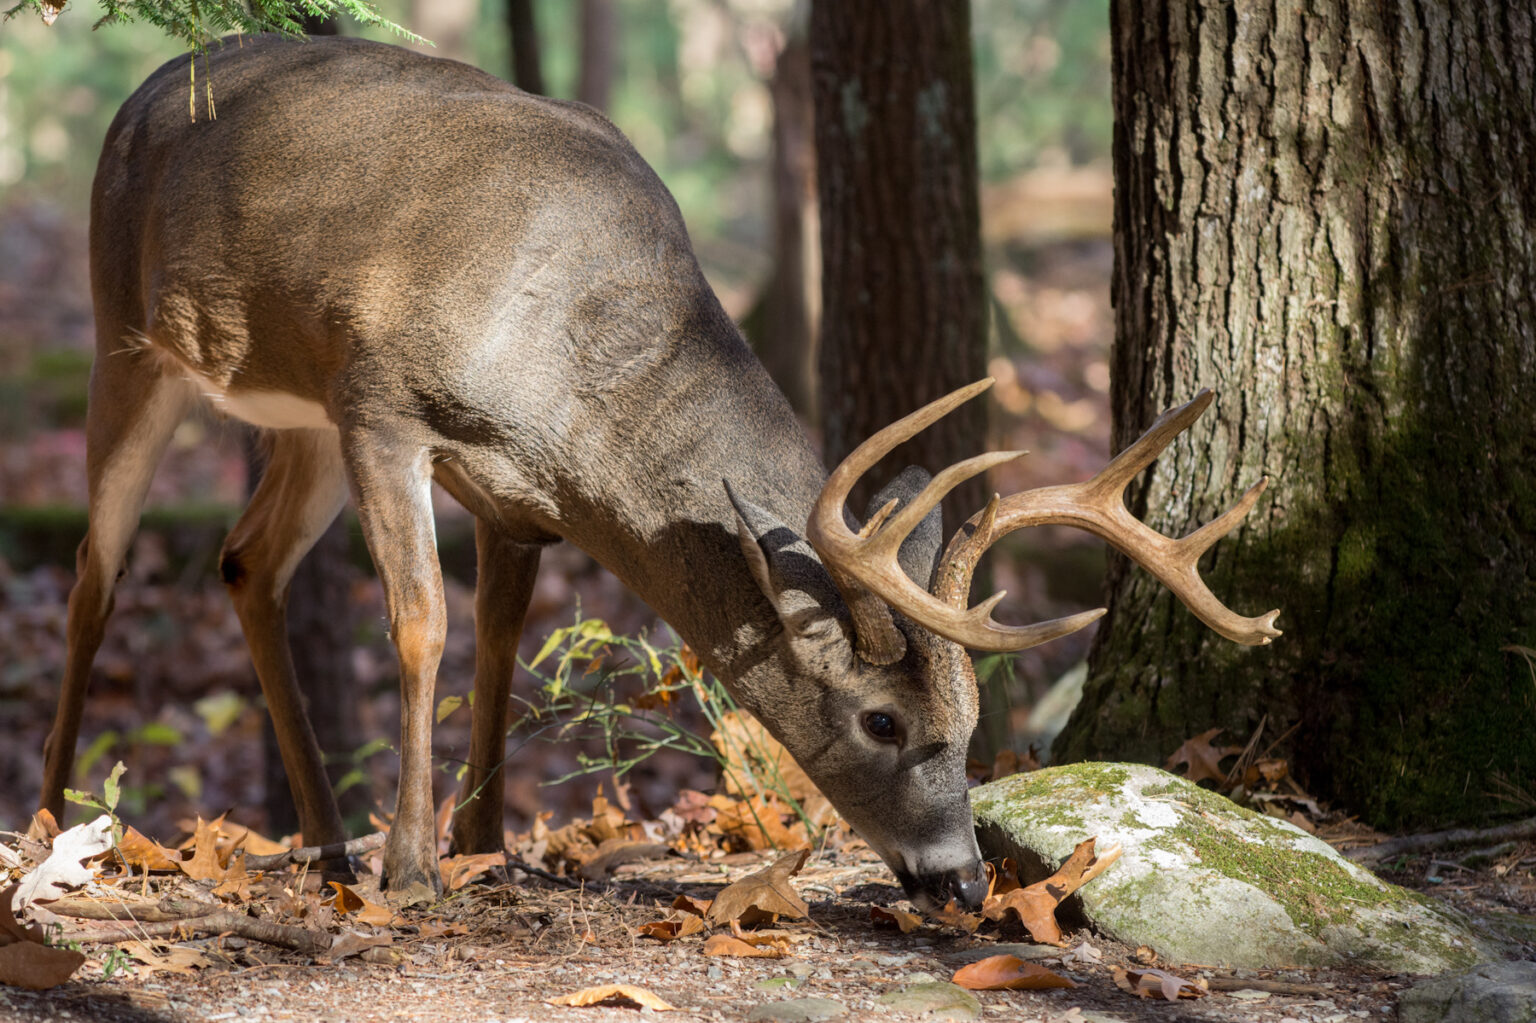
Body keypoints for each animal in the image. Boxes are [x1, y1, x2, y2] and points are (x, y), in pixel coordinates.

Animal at [39, 35, 1281, 911]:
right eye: (882, 721)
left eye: (975, 720)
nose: (962, 881)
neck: (570, 373)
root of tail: (147, 85)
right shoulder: (381, 402)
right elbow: (423, 626)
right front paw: (418, 872)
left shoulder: (515, 495)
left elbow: (500, 644)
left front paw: (486, 848)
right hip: (125, 332)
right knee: (94, 572)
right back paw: (54, 828)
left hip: (290, 410)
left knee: (245, 561)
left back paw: (327, 843)